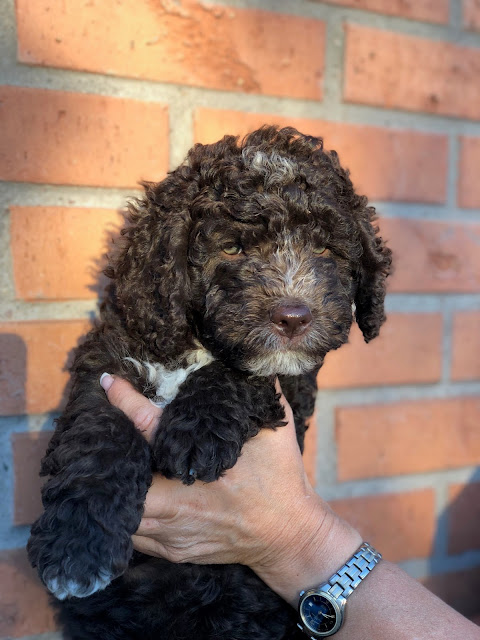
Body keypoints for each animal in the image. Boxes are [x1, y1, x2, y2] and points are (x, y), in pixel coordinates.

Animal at [28, 126, 392, 639]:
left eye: (324, 249)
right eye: (232, 248)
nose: (293, 317)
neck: (195, 343)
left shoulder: (293, 387)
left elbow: (243, 374)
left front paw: (196, 433)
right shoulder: (107, 362)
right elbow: (98, 436)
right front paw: (77, 549)